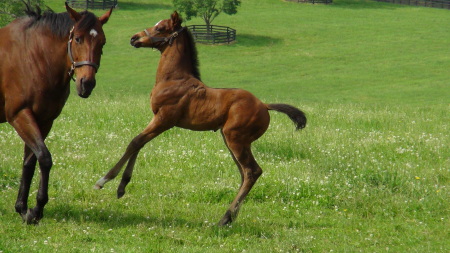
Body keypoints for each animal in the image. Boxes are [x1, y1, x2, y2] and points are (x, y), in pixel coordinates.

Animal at [0, 2, 112, 223]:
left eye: (102, 42)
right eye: (78, 38)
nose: (86, 84)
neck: (33, 57)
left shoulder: (44, 120)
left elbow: (30, 162)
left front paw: (24, 209)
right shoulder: (19, 115)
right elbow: (44, 157)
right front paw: (37, 209)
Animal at [94, 11, 306, 225]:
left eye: (160, 28)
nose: (134, 38)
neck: (173, 79)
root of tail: (264, 105)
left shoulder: (164, 119)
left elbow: (135, 142)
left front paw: (103, 181)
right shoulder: (157, 119)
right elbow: (139, 143)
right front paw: (121, 187)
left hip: (235, 138)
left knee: (252, 171)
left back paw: (225, 218)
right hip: (233, 140)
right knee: (244, 173)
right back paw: (229, 218)